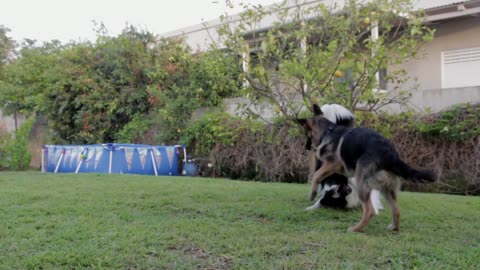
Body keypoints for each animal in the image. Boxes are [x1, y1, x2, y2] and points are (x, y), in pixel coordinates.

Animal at [302, 104, 436, 233]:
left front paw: (312, 194)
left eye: (308, 135)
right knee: (397, 210)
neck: (329, 130)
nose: (307, 147)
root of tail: (389, 155)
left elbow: (316, 175)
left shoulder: (333, 164)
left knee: (369, 211)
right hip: (387, 188)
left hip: (364, 184)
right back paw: (394, 228)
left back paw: (356, 229)